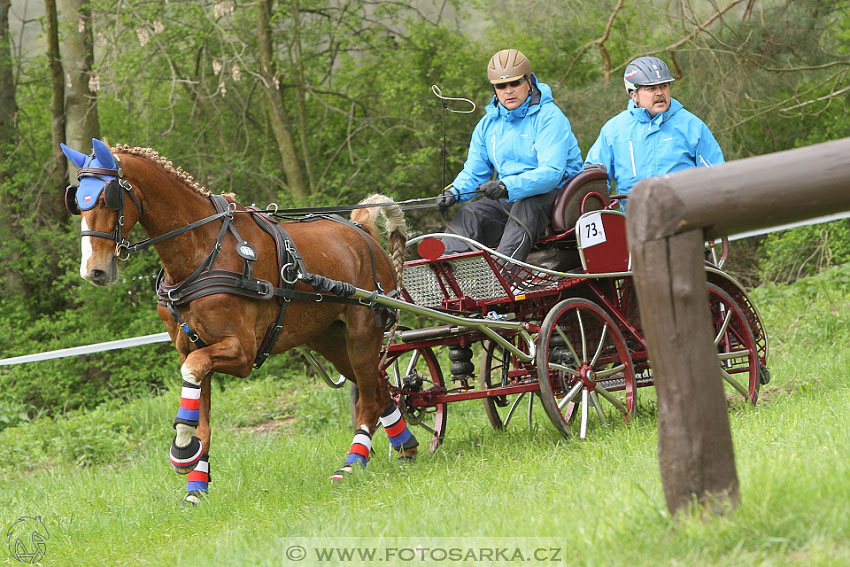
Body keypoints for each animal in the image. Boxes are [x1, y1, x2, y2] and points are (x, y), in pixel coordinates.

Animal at [59, 140, 418, 504]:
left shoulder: (241, 351)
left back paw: (352, 463)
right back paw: (407, 449)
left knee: (370, 398)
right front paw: (195, 486)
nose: (94, 270)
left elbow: (192, 372)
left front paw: (182, 447)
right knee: (378, 387)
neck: (201, 251)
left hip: (363, 330)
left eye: (109, 197)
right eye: (76, 200)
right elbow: (200, 413)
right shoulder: (192, 346)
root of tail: (361, 231)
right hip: (327, 337)